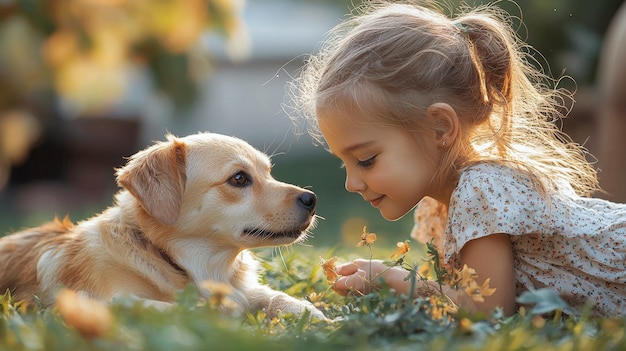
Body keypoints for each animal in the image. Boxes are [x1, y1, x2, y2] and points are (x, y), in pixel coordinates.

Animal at [0, 131, 322, 320]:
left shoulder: (245, 289)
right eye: (239, 178)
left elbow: (274, 296)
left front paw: (315, 314)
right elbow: (175, 308)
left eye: (269, 173)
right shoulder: (97, 301)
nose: (312, 199)